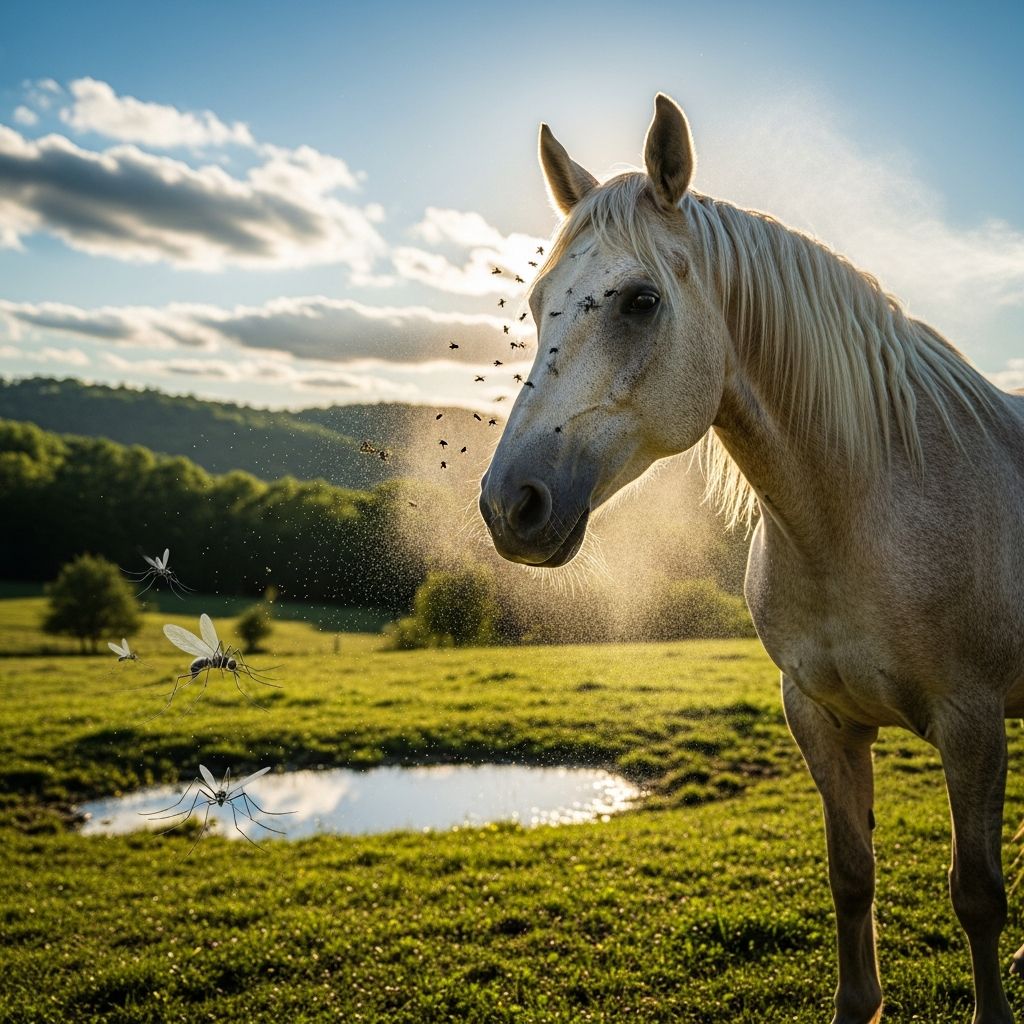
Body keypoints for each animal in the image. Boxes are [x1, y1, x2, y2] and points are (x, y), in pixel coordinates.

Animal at [479, 93, 1024, 1023]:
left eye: (640, 301)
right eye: (540, 299)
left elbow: (978, 895)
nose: (509, 505)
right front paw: (857, 1001)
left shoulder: (973, 723)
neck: (861, 513)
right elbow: (851, 875)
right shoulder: (817, 714)